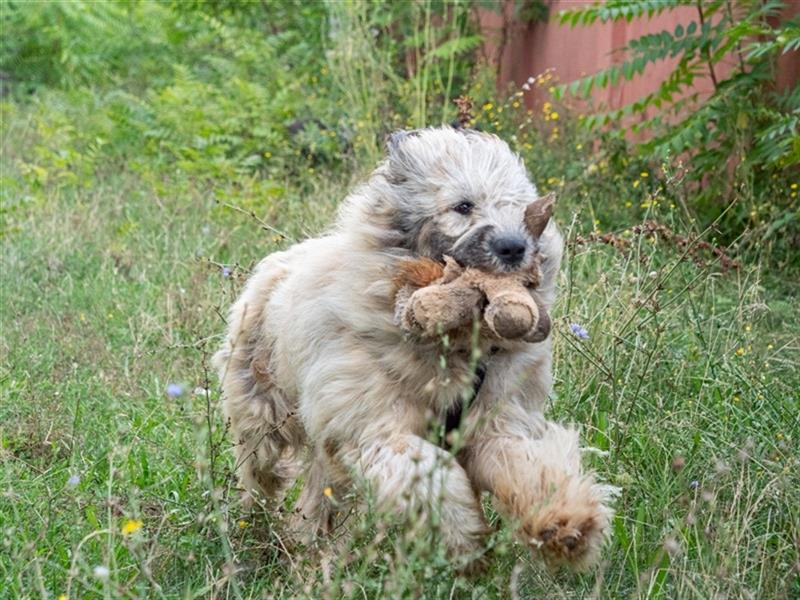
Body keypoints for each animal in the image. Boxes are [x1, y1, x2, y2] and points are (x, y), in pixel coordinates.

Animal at [211, 127, 612, 572]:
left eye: (521, 209)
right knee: (259, 474)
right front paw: (465, 539)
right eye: (463, 205)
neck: (454, 347)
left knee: (321, 491)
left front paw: (565, 523)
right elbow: (436, 479)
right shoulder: (374, 429)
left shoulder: (501, 420)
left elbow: (529, 465)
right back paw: (255, 529)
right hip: (262, 414)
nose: (514, 248)